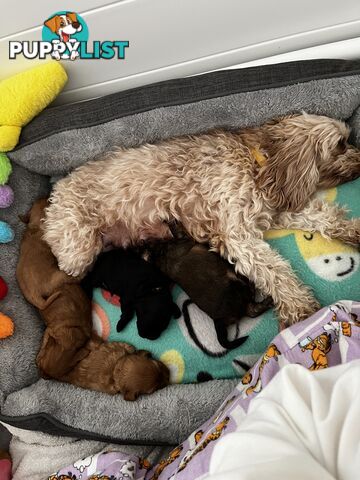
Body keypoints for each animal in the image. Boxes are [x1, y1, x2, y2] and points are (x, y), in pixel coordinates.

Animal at [43, 114, 360, 328]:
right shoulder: (238, 233)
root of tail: (54, 194)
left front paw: (353, 231)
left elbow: (323, 216)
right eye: (341, 143)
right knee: (68, 274)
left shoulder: (279, 207)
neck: (262, 161)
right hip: (79, 247)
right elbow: (276, 271)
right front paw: (301, 309)